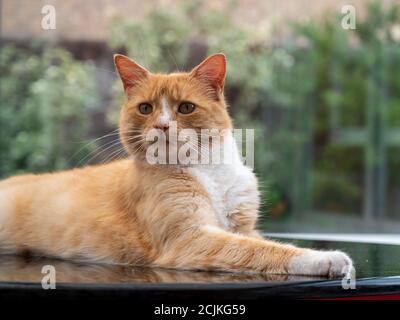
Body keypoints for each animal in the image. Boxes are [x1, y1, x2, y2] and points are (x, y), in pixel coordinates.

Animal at [0, 53, 352, 278]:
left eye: (185, 108)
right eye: (146, 108)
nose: (162, 125)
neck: (207, 169)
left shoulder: (244, 228)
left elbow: (261, 242)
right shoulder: (189, 239)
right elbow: (264, 251)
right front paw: (326, 258)